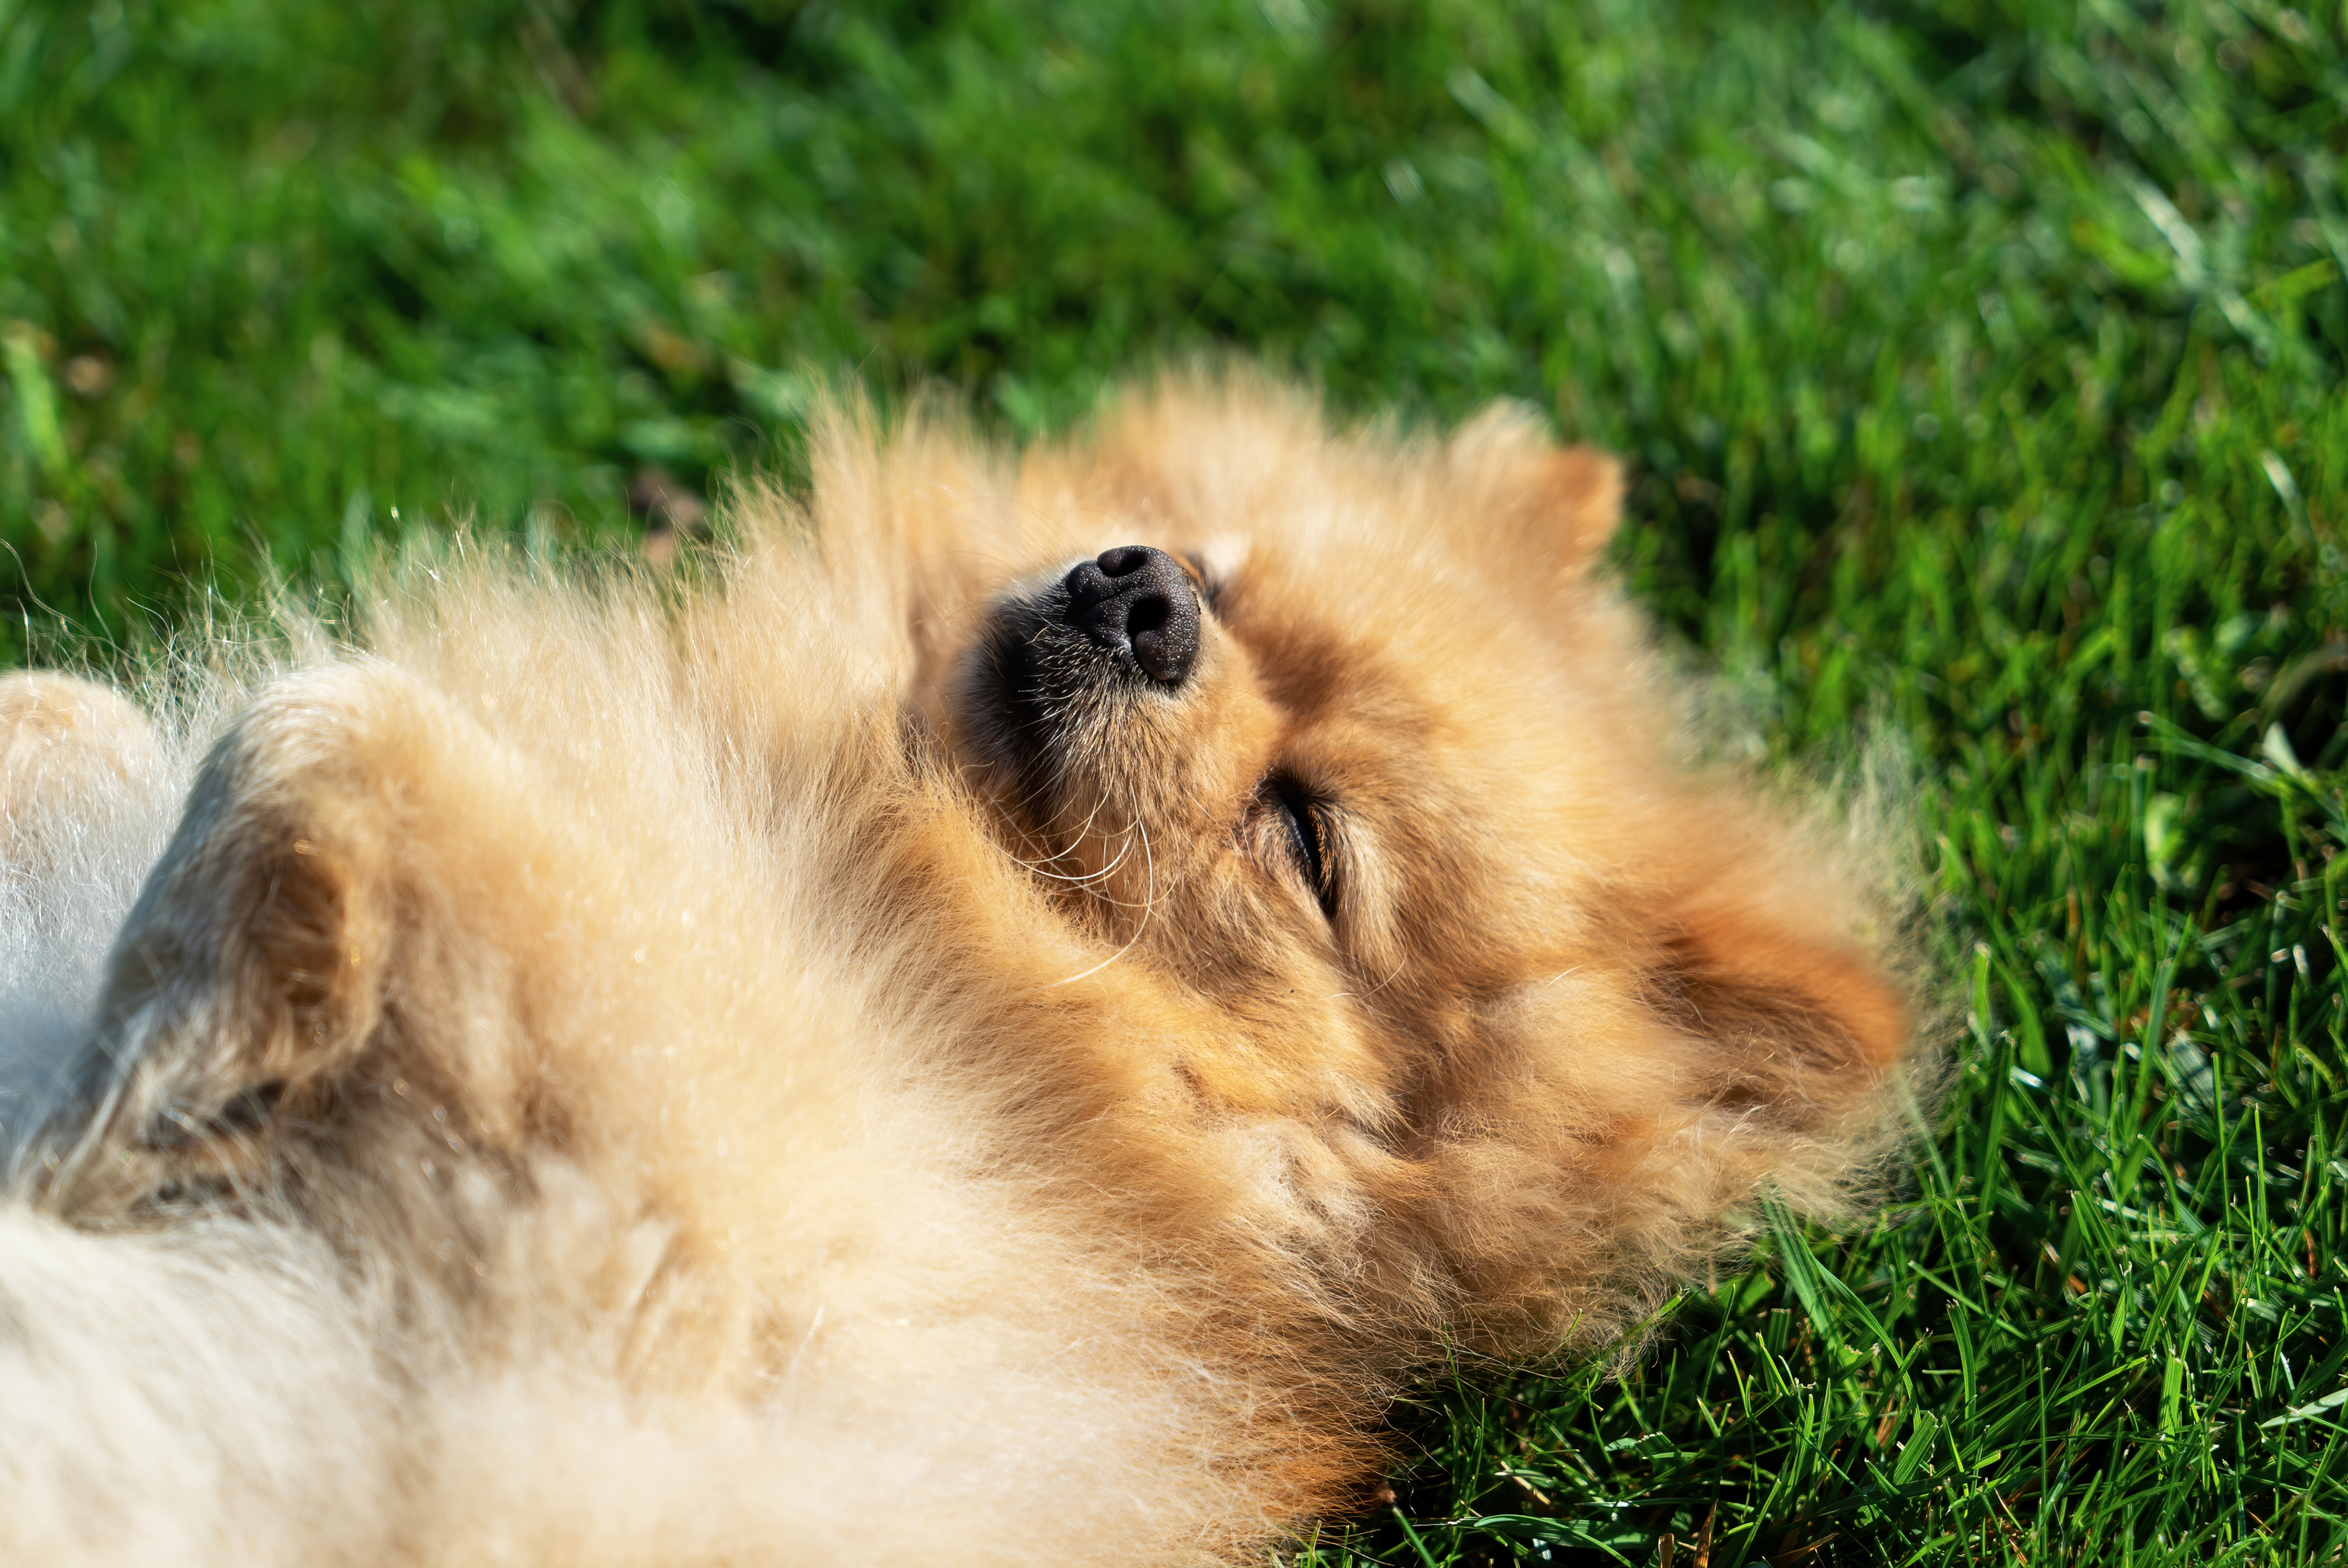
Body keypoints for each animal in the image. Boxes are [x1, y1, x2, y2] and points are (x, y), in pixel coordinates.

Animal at [0, 380, 1907, 1568]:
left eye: (1308, 839)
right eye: (1209, 557)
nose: (1146, 594)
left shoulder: (605, 1237)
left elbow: (329, 713)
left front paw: (104, 1123)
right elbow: (75, 712)